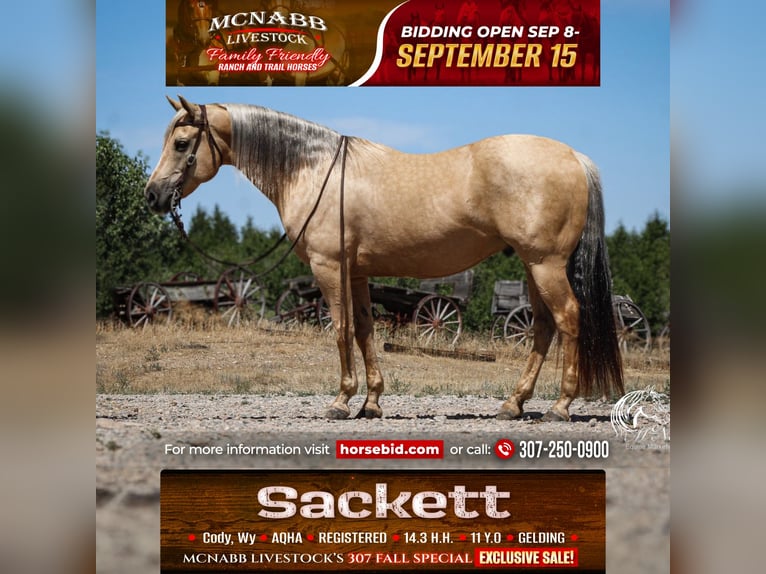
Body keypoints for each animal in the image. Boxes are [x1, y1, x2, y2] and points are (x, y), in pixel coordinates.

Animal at [145, 96, 624, 421]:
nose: (152, 196)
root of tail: (574, 157)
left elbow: (340, 331)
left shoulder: (329, 268)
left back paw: (560, 406)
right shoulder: (357, 273)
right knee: (543, 327)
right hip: (532, 265)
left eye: (182, 143)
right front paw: (371, 402)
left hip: (545, 264)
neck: (313, 170)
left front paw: (341, 401)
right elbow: (364, 331)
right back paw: (513, 403)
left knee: (568, 319)